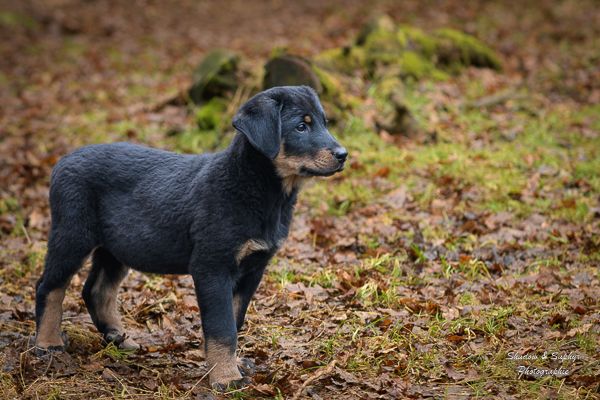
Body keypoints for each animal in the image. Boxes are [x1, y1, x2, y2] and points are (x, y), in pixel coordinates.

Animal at [34, 86, 346, 390]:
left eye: (325, 122)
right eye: (301, 127)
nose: (343, 154)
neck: (261, 190)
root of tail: (61, 162)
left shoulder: (253, 269)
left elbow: (235, 320)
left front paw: (230, 365)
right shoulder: (212, 266)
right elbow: (222, 327)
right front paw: (226, 378)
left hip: (117, 247)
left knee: (97, 290)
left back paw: (119, 339)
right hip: (72, 233)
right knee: (49, 286)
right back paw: (48, 343)